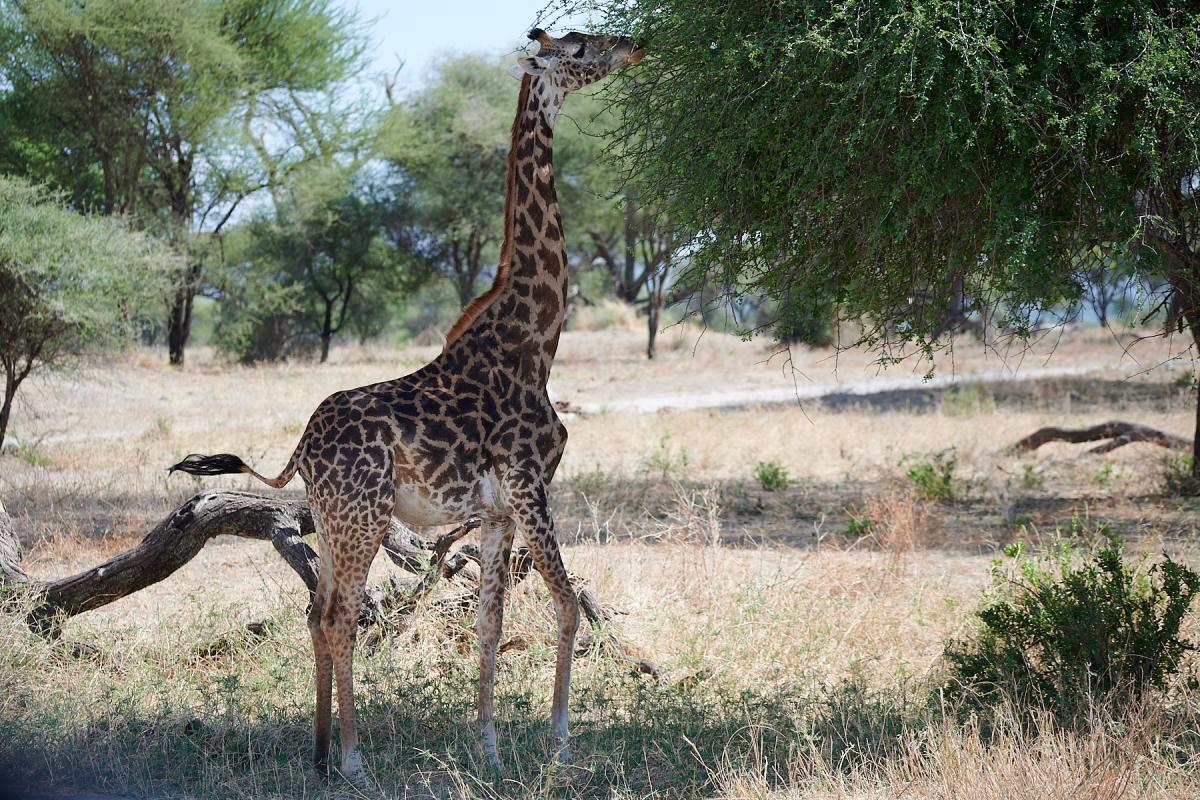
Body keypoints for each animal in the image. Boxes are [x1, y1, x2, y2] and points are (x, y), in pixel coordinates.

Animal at [170, 29, 645, 783]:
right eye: (578, 46)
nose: (634, 45)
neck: (537, 340)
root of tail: (301, 449)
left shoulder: (497, 509)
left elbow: (490, 622)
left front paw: (490, 751)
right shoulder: (531, 485)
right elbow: (568, 606)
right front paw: (560, 746)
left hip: (337, 520)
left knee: (318, 611)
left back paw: (320, 753)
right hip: (362, 515)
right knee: (340, 616)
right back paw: (354, 760)